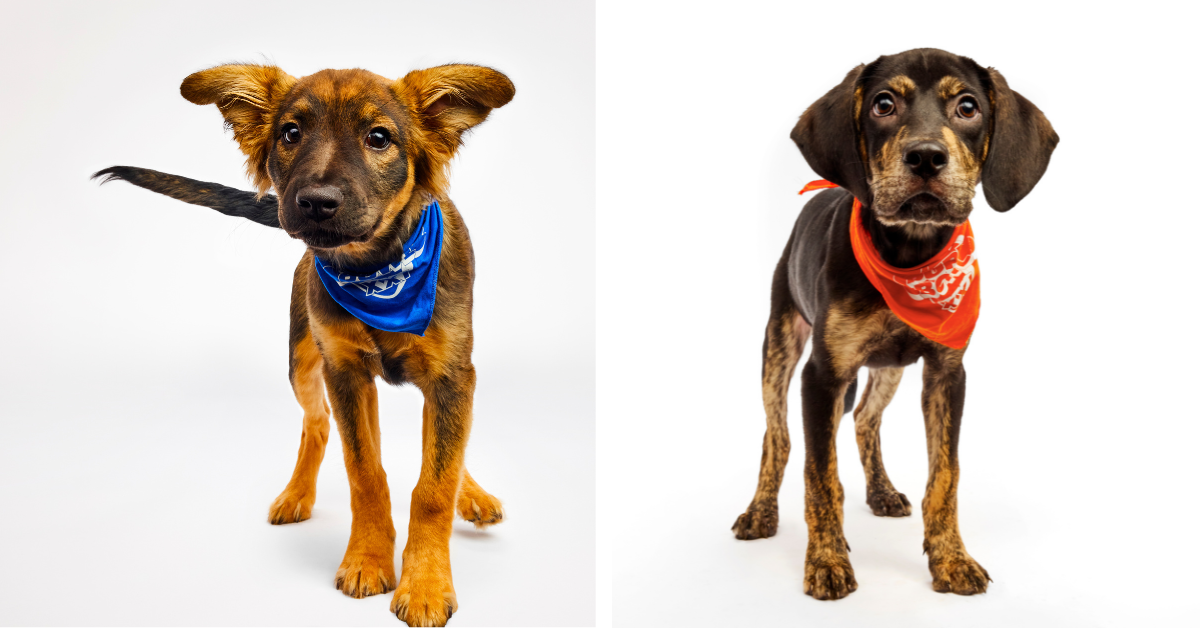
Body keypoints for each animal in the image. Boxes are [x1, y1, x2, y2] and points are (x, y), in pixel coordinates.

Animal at [97, 61, 516, 624]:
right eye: (290, 134)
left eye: (378, 137)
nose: (316, 203)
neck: (377, 270)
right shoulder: (344, 371)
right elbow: (364, 471)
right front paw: (368, 558)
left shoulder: (452, 375)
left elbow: (435, 483)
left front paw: (425, 584)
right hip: (304, 360)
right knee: (318, 425)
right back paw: (297, 493)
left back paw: (471, 495)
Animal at [729, 48, 1060, 600]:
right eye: (883, 104)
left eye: (968, 107)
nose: (925, 157)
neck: (910, 251)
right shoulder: (822, 375)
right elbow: (821, 476)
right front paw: (826, 562)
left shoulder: (947, 373)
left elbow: (945, 474)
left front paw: (951, 559)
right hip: (780, 344)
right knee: (777, 436)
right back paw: (760, 512)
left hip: (890, 368)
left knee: (865, 418)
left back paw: (881, 492)